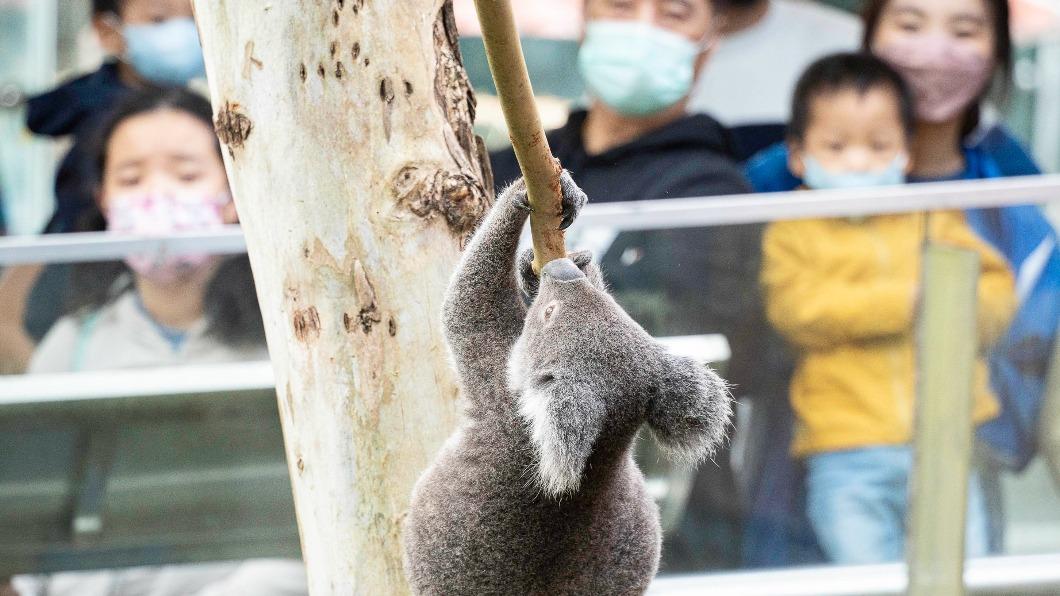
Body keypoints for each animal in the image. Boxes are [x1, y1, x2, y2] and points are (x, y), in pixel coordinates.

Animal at [402, 172, 732, 595]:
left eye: (549, 312)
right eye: (615, 309)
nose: (561, 271)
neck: (604, 450)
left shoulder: (497, 380)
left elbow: (469, 301)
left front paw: (520, 194)